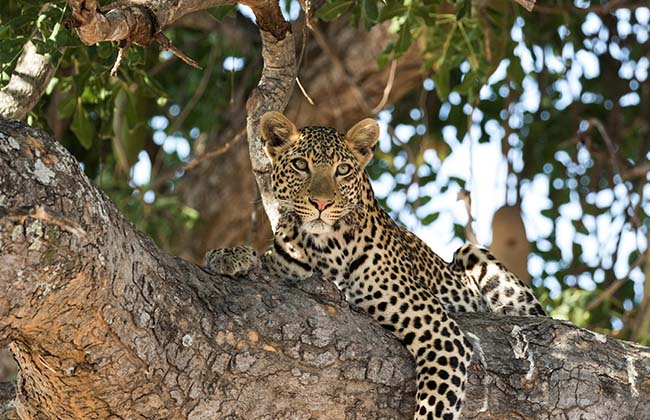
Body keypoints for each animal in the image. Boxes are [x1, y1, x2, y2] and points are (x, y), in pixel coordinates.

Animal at [205, 111, 544, 420]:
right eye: (301, 165)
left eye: (342, 170)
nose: (321, 204)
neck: (324, 247)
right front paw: (229, 255)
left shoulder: (442, 336)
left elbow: (433, 408)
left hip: (472, 253)